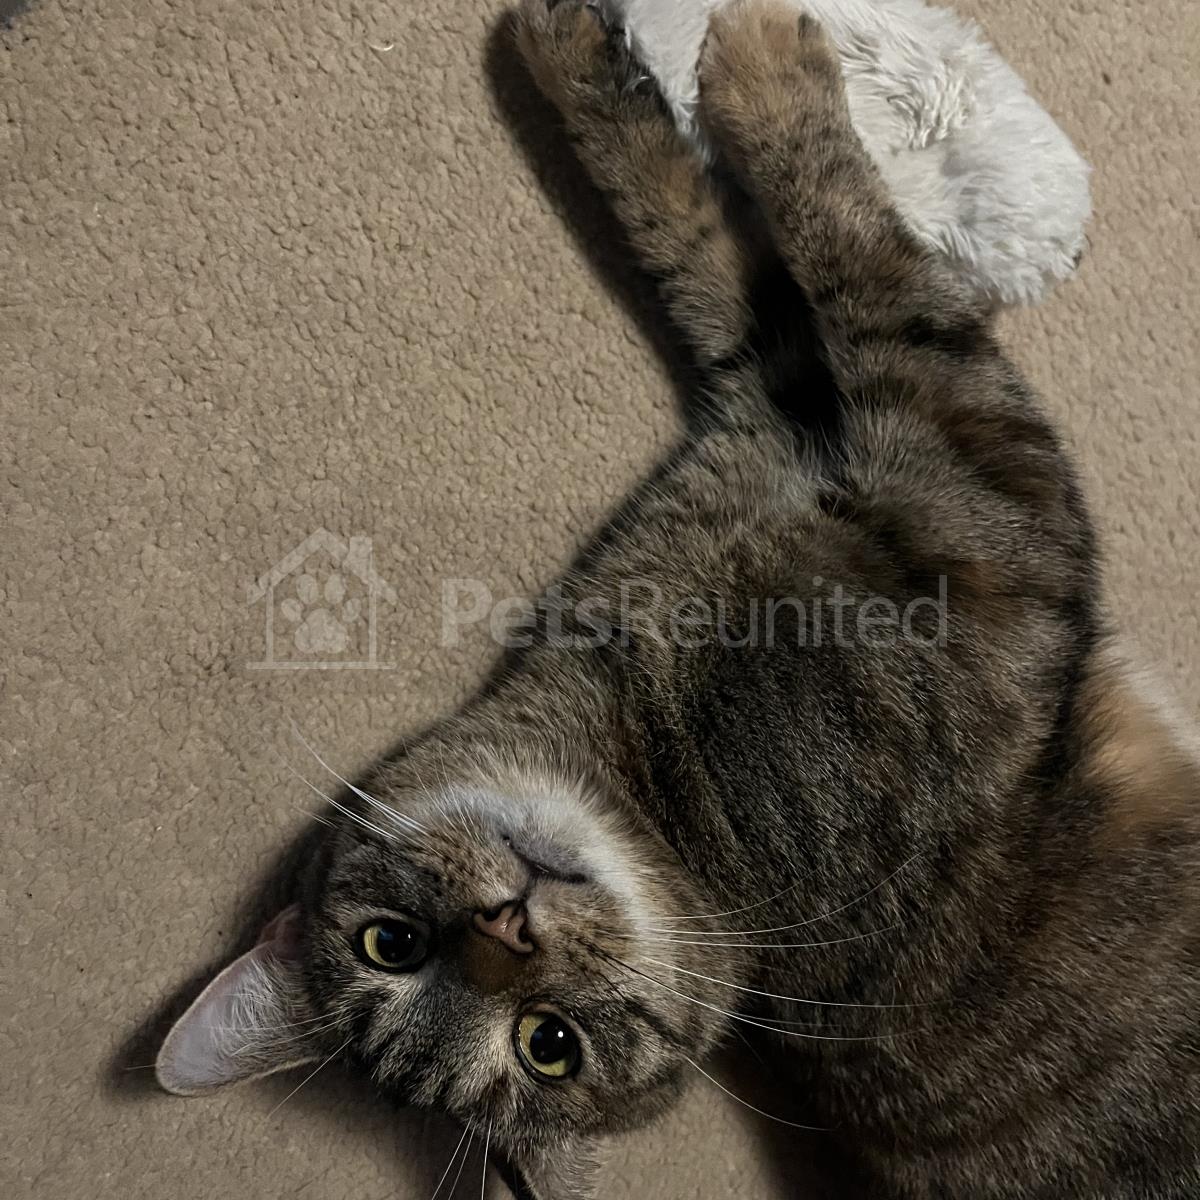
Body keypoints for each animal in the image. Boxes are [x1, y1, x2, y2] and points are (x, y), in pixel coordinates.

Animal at [155, 2, 1200, 1197]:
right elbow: (845, 237)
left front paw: (580, 55)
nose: (511, 929)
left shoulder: (783, 406)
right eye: (548, 1044)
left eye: (390, 944)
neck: (653, 769)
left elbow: (704, 241)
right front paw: (760, 61)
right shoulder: (981, 488)